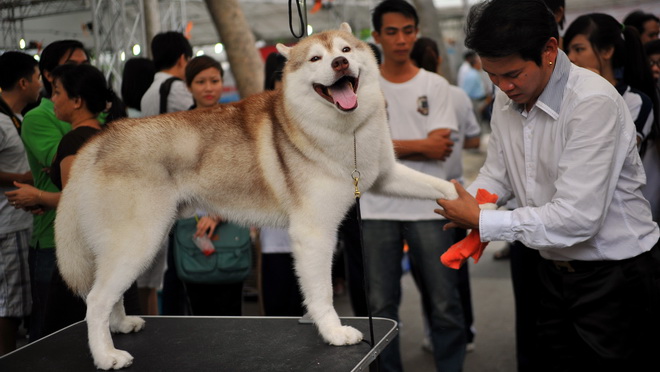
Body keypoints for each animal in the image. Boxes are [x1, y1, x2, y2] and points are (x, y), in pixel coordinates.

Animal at [55, 23, 458, 370]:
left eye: (345, 50)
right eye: (316, 58)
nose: (340, 64)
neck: (345, 132)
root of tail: (98, 141)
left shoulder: (385, 176)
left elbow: (442, 187)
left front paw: (466, 203)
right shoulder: (314, 233)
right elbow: (322, 292)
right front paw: (332, 332)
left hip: (131, 246)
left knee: (108, 295)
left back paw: (120, 325)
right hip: (139, 241)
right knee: (95, 300)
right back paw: (106, 355)